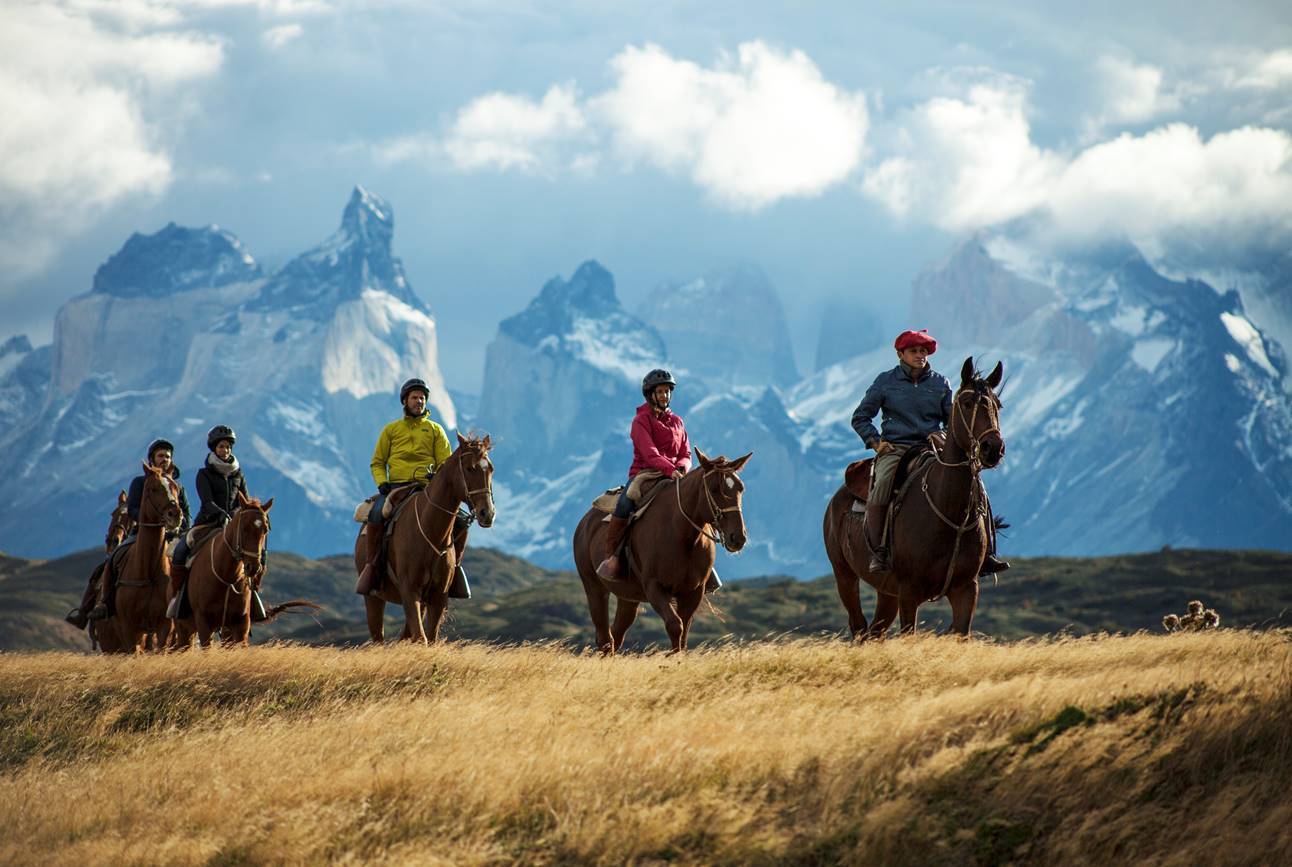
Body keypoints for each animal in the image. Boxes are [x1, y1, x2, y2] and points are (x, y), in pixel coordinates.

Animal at [107, 467, 184, 651]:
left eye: (176, 488)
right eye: (153, 489)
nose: (175, 514)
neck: (148, 572)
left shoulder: (164, 627)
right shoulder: (129, 629)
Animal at [354, 434, 493, 643]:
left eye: (491, 469)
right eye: (470, 468)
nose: (487, 513)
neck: (431, 532)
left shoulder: (437, 597)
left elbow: (429, 637)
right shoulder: (409, 591)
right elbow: (421, 638)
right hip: (373, 598)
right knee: (378, 635)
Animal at [573, 452, 749, 653]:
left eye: (740, 488)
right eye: (714, 489)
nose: (738, 537)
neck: (682, 535)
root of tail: (584, 522)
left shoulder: (693, 592)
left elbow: (684, 633)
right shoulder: (654, 587)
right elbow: (675, 626)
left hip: (628, 597)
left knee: (616, 635)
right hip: (595, 588)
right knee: (604, 637)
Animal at [821, 356, 1002, 640]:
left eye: (997, 404)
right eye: (966, 403)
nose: (992, 448)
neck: (948, 509)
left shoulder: (966, 589)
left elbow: (961, 632)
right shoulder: (909, 592)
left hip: (886, 592)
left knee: (875, 631)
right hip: (845, 575)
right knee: (859, 627)